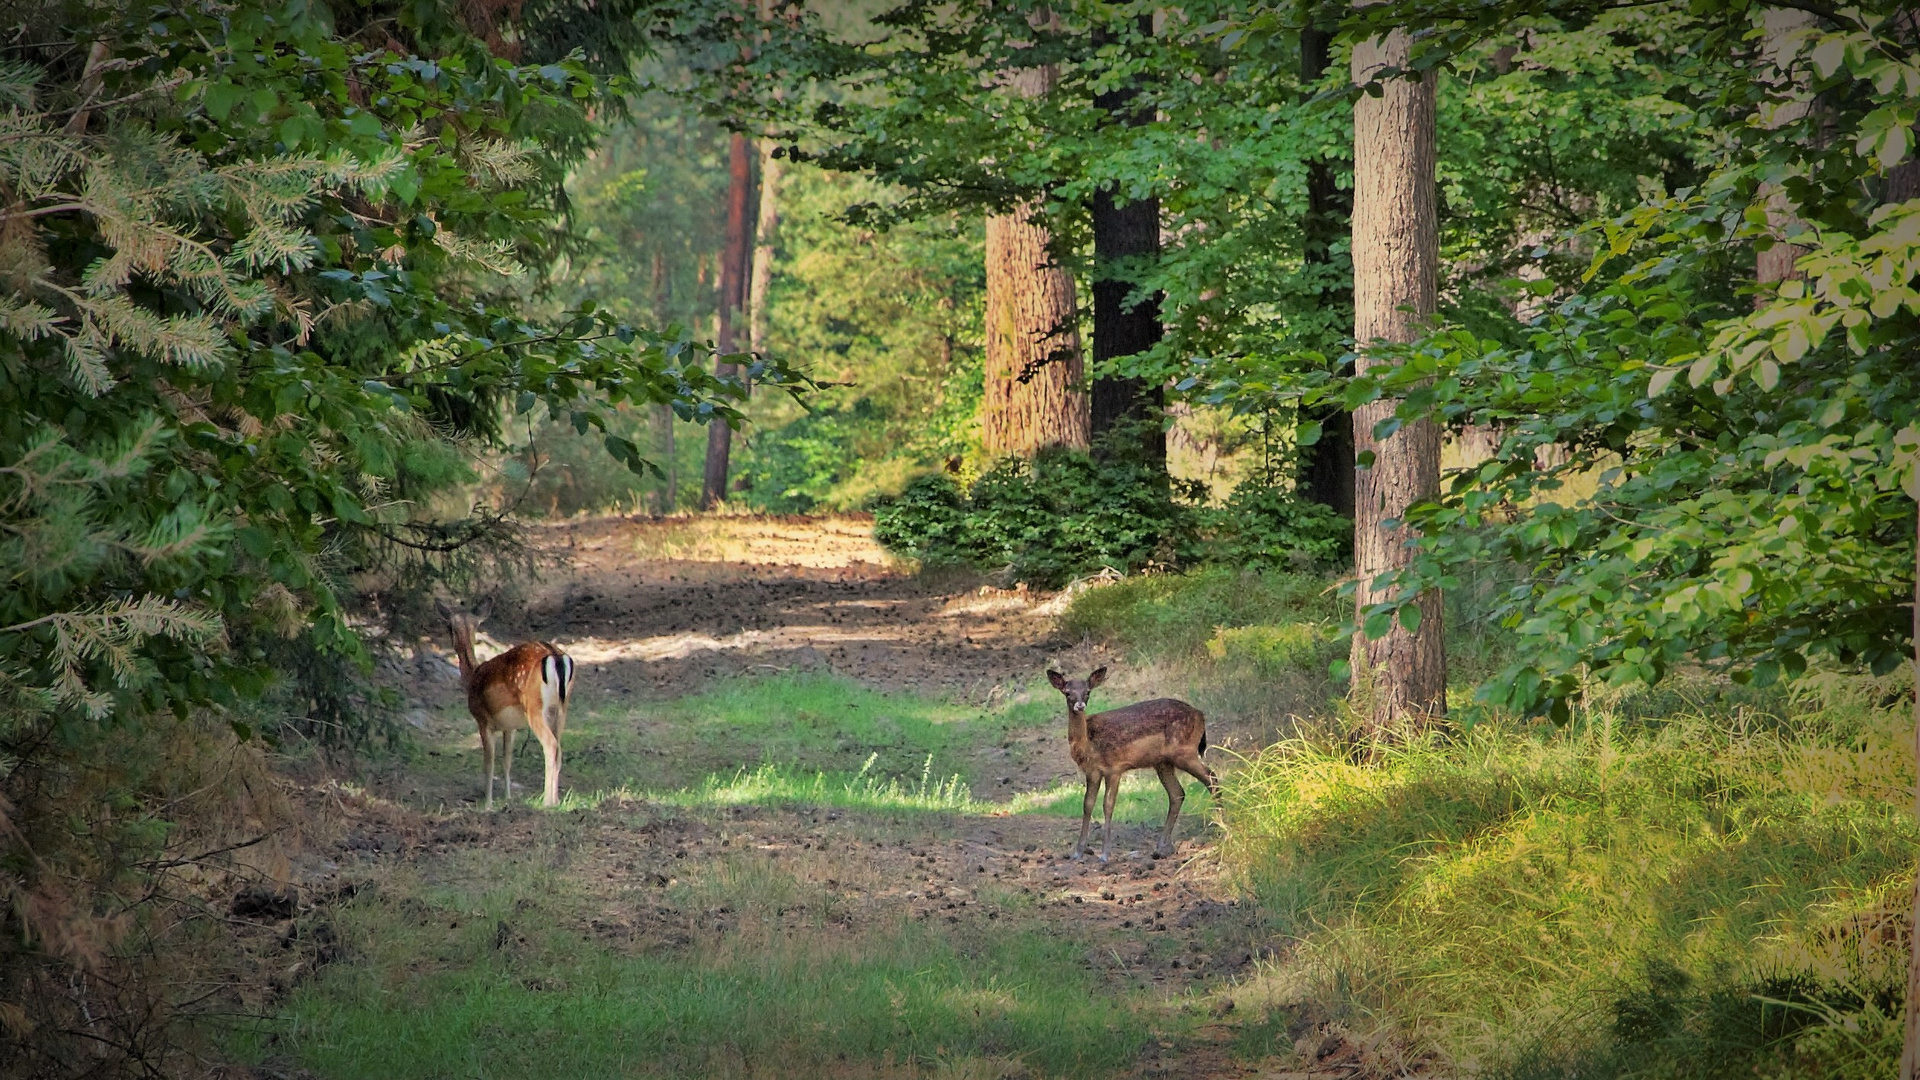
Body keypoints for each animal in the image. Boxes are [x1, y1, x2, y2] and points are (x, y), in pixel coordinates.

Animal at [439, 595, 572, 807]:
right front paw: (508, 798)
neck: (472, 677)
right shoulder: (510, 727)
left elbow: (489, 763)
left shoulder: (483, 720)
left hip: (534, 708)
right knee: (559, 748)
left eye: (448, 626)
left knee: (550, 745)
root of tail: (556, 656)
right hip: (561, 708)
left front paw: (487, 804)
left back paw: (547, 802)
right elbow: (507, 760)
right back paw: (557, 800)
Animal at [1052, 664, 1213, 857]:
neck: (1088, 743)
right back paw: (1161, 847)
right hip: (1163, 762)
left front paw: (1104, 854)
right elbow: (1087, 804)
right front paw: (1078, 852)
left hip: (1184, 751)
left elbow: (1108, 805)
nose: (1080, 705)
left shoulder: (1114, 767)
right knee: (1177, 793)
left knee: (1211, 777)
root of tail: (1201, 715)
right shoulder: (1092, 771)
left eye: (1088, 691)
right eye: (1067, 692)